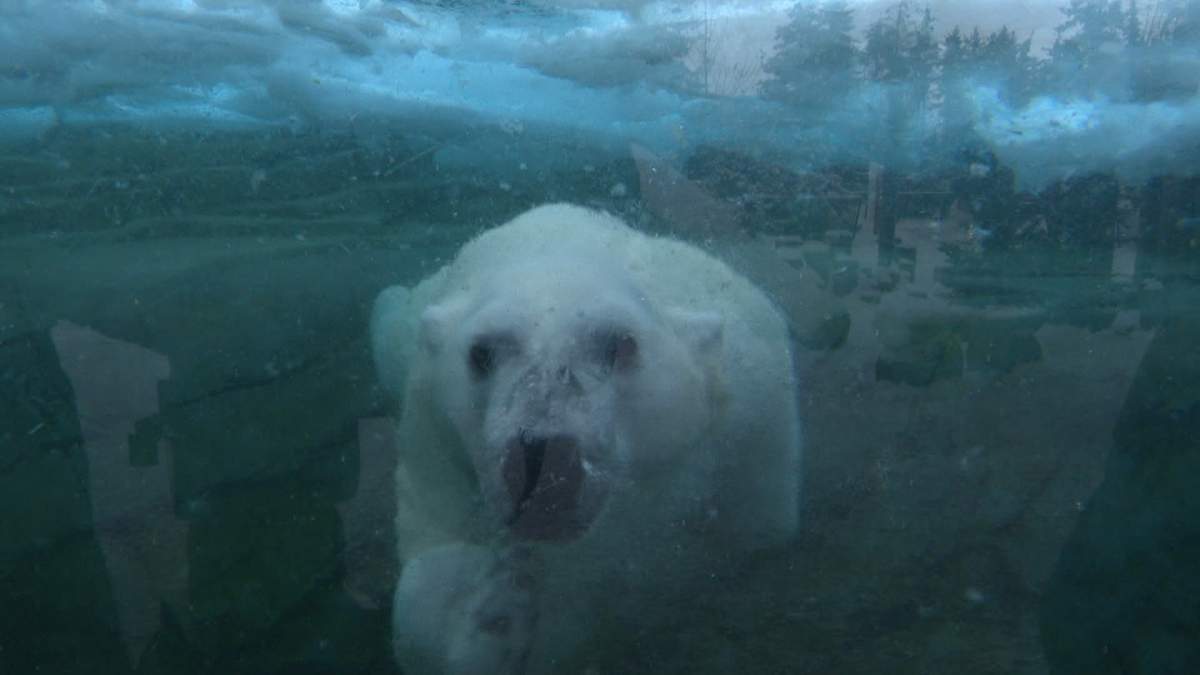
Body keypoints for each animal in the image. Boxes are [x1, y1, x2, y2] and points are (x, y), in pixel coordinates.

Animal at [370, 203, 801, 674]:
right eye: (480, 352)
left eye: (622, 344)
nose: (543, 463)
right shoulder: (433, 441)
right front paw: (501, 599)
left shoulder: (752, 422)